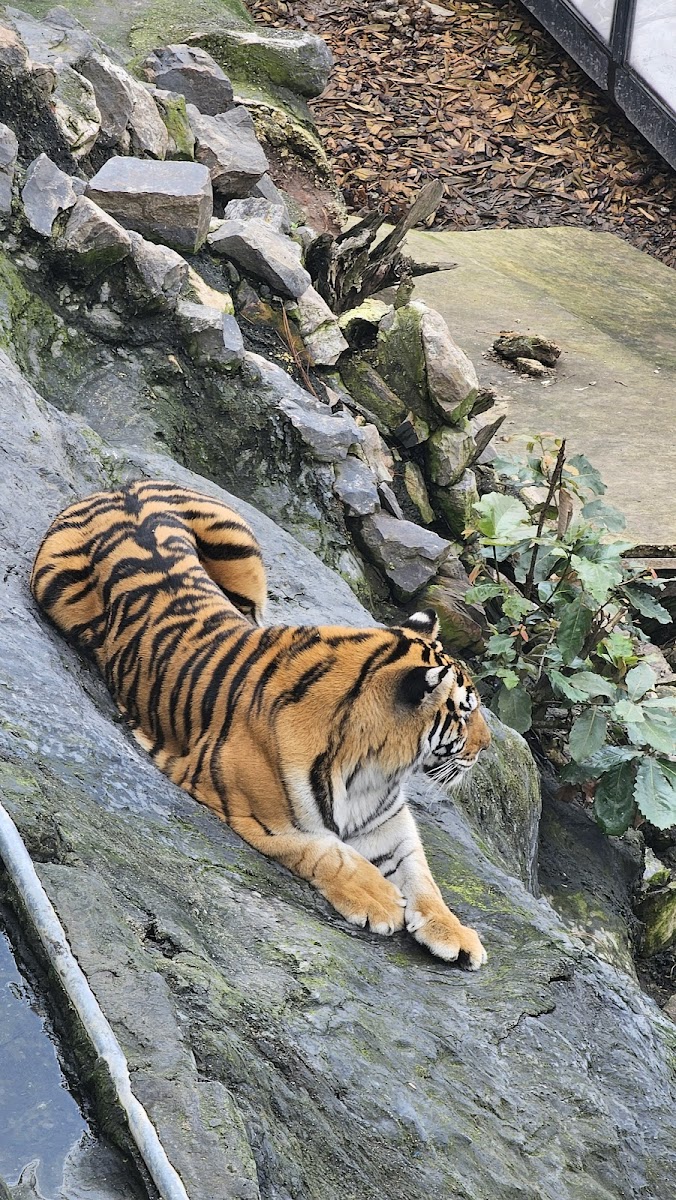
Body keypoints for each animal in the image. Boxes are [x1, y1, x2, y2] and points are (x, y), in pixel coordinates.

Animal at [30, 480, 491, 967]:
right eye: (465, 711)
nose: (486, 747)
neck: (372, 768)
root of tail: (123, 486)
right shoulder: (259, 813)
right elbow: (328, 852)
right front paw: (380, 900)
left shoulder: (388, 819)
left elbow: (421, 874)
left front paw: (454, 932)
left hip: (242, 555)